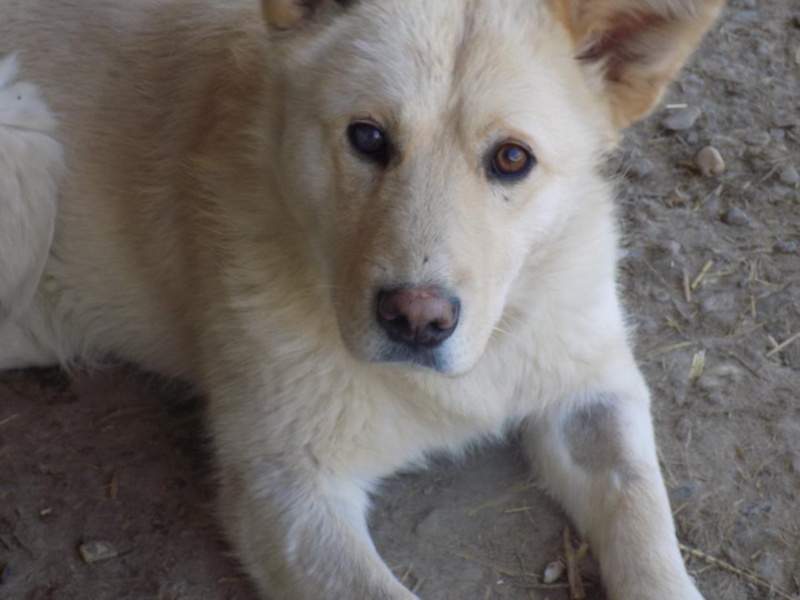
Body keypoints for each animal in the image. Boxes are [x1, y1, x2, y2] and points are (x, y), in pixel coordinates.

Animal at [0, 0, 724, 598]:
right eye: (369, 138)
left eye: (512, 159)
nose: (417, 321)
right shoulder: (288, 488)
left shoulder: (594, 394)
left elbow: (643, 517)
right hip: (24, 139)